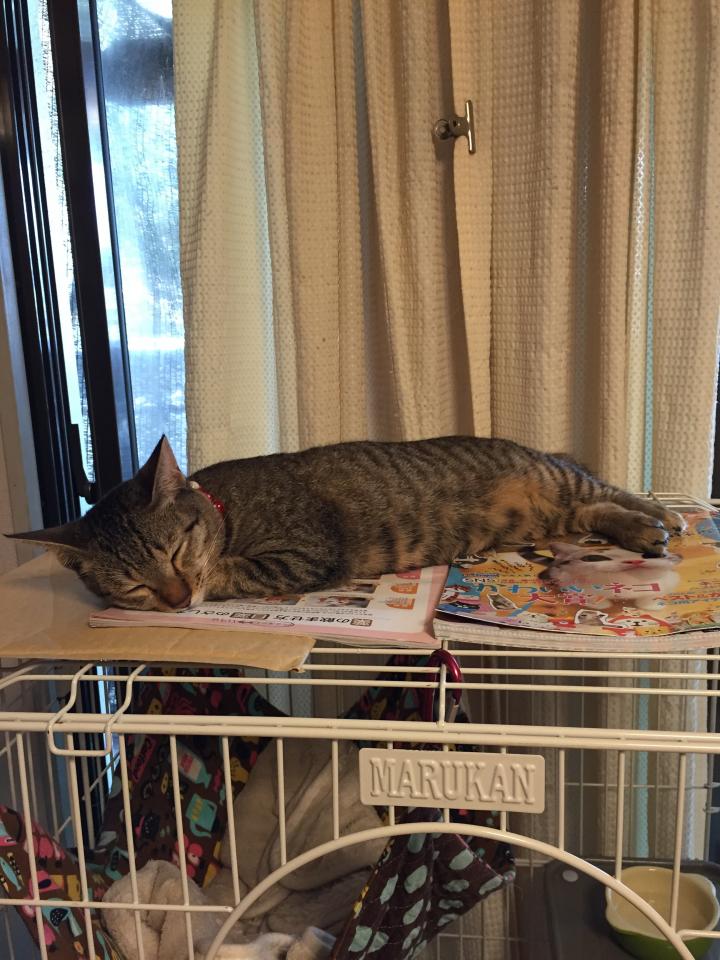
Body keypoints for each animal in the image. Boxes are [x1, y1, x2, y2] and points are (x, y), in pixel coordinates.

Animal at [6, 435, 685, 612]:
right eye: (132, 585)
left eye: (175, 551)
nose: (174, 601)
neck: (226, 510)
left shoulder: (305, 553)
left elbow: (226, 571)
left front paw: (209, 578)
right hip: (554, 513)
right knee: (594, 511)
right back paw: (640, 531)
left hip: (558, 481)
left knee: (611, 491)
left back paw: (662, 517)